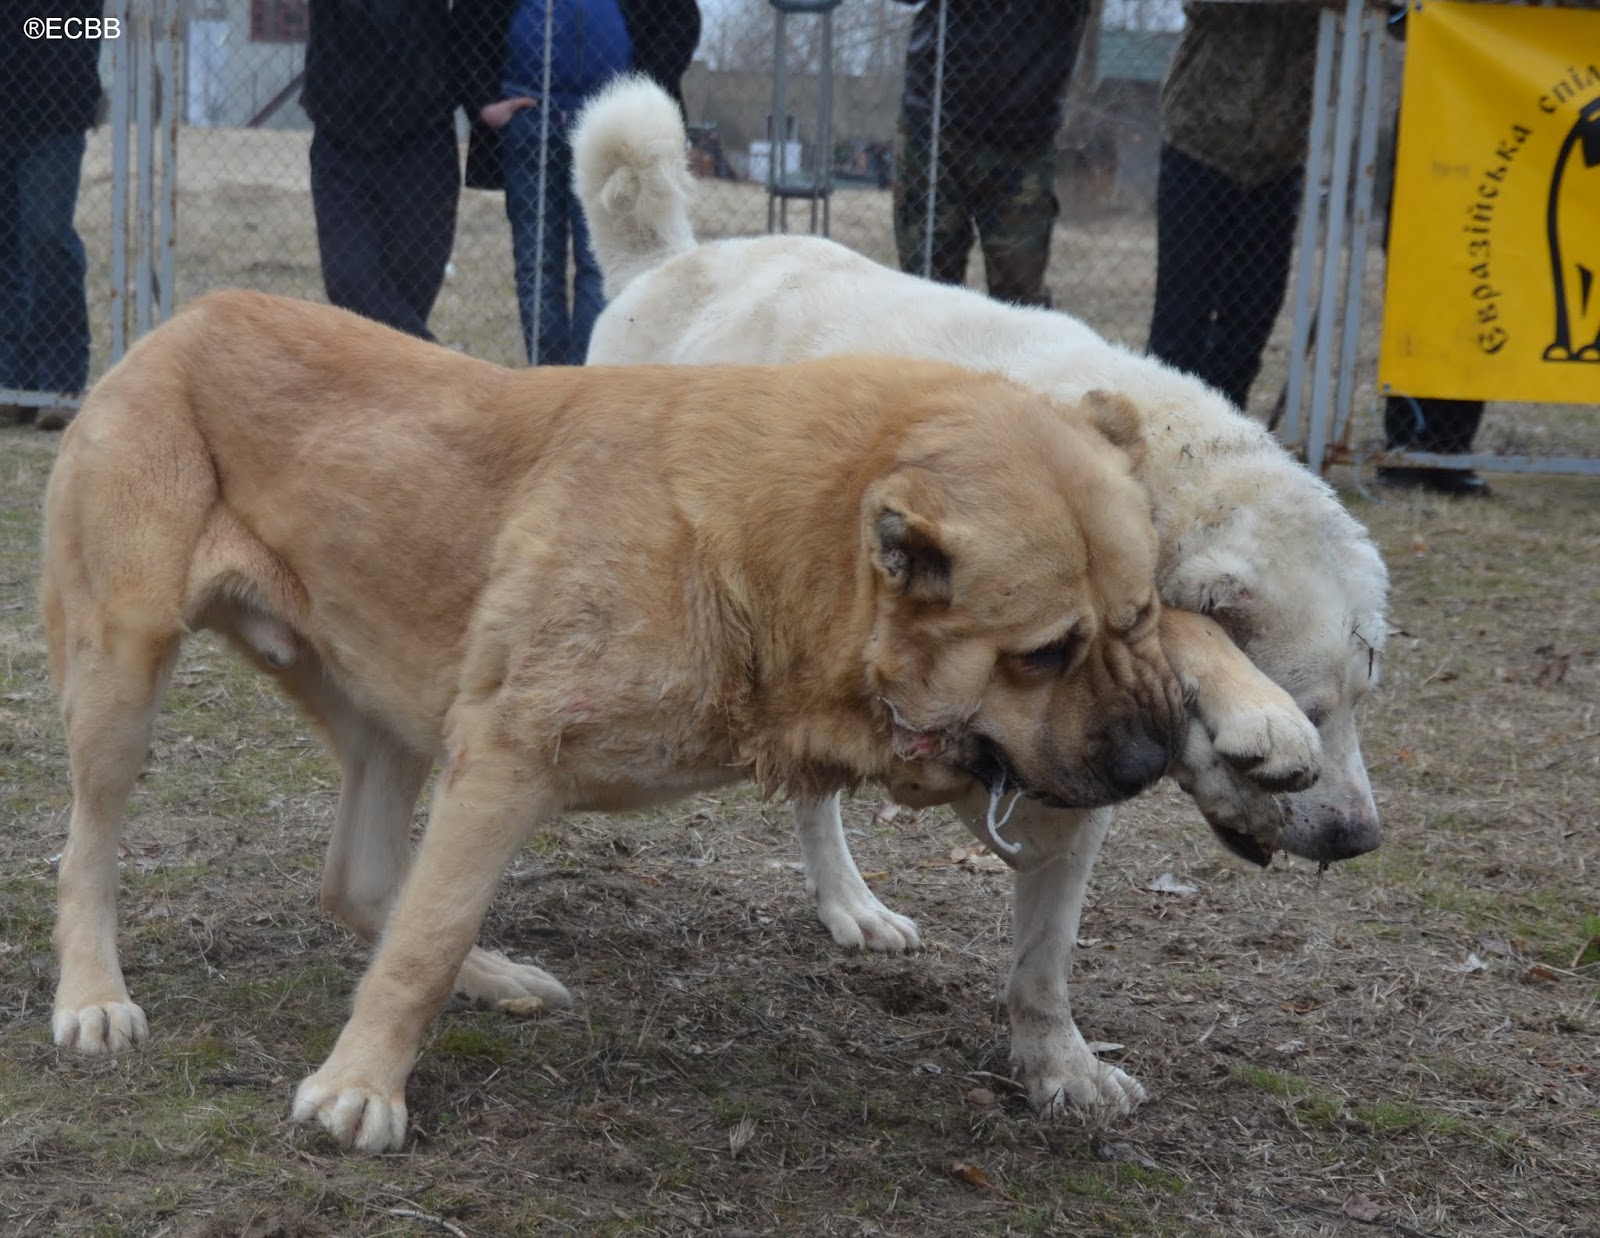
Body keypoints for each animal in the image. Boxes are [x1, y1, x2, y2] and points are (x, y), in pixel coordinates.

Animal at [39, 291, 1340, 1151]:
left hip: (394, 710)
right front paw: (363, 1085)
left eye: (1128, 619)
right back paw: (91, 995)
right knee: (90, 848)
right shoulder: (507, 757)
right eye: (1042, 650)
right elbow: (424, 939)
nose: (1140, 763)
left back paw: (501, 978)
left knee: (360, 881)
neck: (786, 552)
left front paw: (1261, 711)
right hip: (127, 676)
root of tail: (187, 316)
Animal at [571, 75, 1391, 1113]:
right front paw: (1253, 710)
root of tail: (669, 261)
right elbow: (1179, 627)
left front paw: (1058, 1066)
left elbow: (1043, 960)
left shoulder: (1073, 791)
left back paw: (850, 906)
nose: (1362, 837)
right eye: (1314, 707)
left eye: (1365, 700)